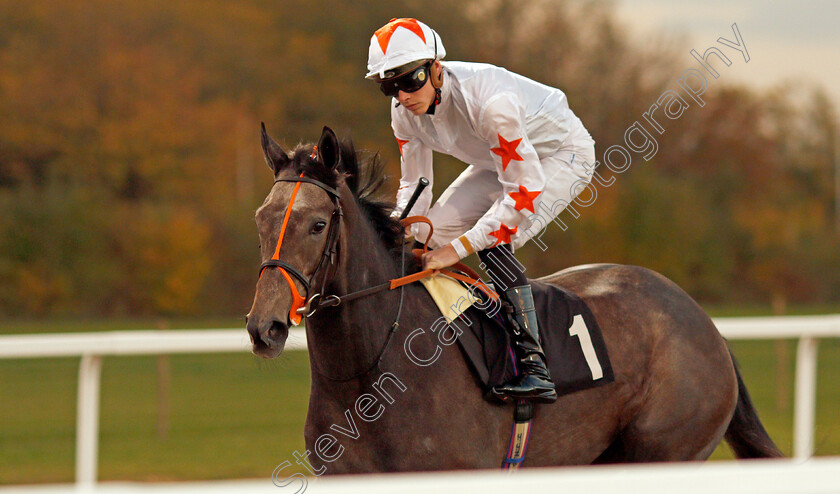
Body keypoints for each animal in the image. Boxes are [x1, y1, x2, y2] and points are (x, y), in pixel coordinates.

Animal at [246, 125, 784, 472]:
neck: (368, 370)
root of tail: (705, 323)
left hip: (666, 445)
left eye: (318, 225)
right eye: (261, 219)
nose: (263, 328)